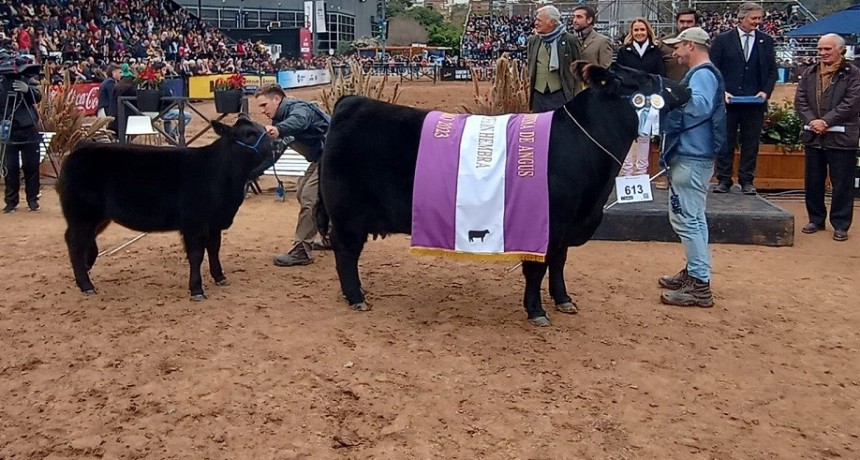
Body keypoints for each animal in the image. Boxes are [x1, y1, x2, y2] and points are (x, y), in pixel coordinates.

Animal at [58, 115, 275, 300]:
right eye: (249, 134)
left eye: (262, 128)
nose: (276, 143)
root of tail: (82, 147)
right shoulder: (194, 223)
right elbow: (196, 255)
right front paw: (196, 289)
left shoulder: (214, 222)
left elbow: (214, 249)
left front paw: (220, 277)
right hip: (82, 215)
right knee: (75, 243)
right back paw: (86, 285)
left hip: (98, 217)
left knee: (84, 240)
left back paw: (87, 267)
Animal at [316, 62, 691, 326]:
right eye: (643, 81)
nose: (685, 87)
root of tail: (350, 102)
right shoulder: (543, 225)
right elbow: (537, 270)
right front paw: (537, 311)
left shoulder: (563, 230)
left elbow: (559, 265)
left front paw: (564, 300)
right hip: (348, 216)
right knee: (345, 254)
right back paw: (356, 297)